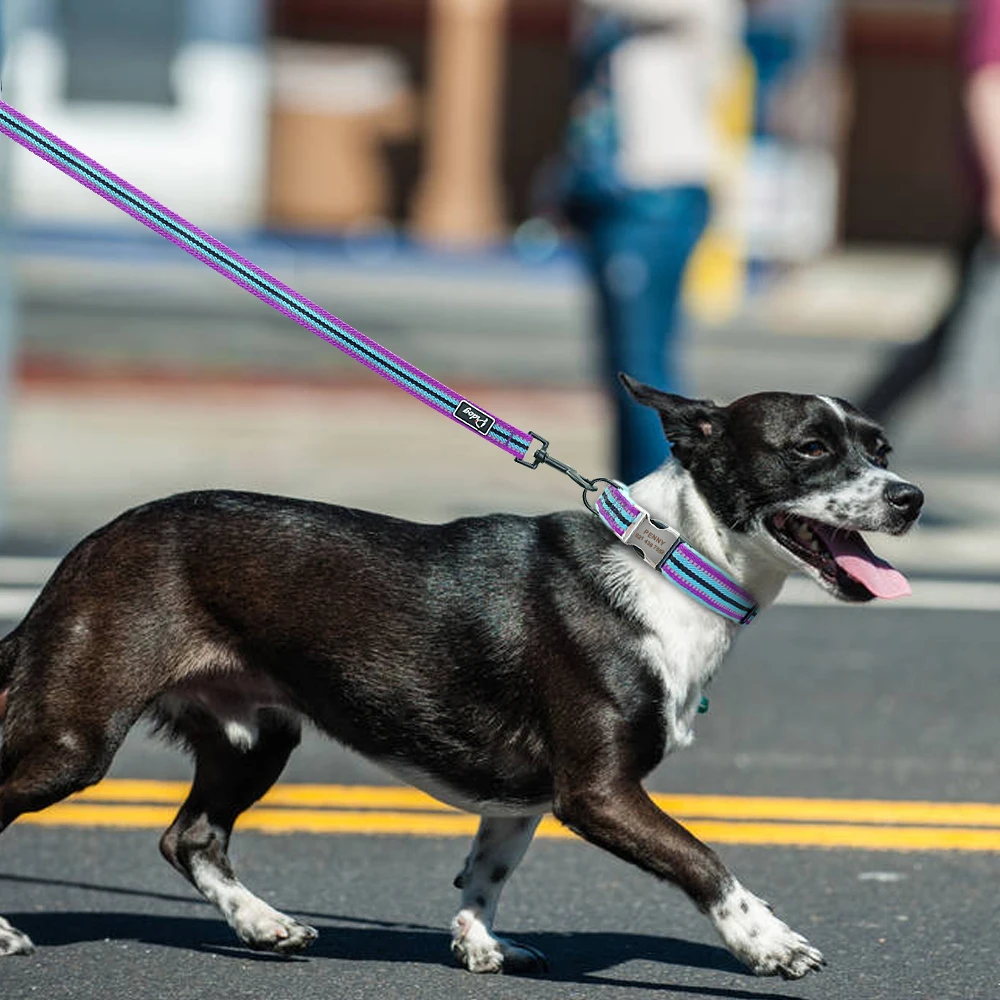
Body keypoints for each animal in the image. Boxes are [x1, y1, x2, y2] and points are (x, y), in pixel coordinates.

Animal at [0, 378, 920, 980]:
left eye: (881, 450)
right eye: (811, 449)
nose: (910, 497)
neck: (672, 559)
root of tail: (87, 548)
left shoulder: (527, 797)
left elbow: (488, 869)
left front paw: (478, 943)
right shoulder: (599, 793)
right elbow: (704, 860)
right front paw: (767, 941)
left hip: (256, 734)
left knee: (190, 836)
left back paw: (263, 925)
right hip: (74, 738)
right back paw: (10, 933)